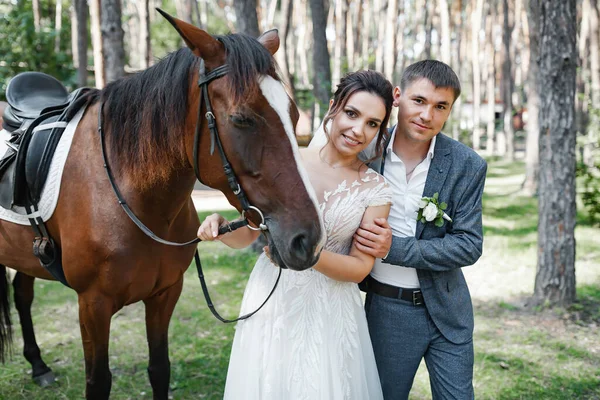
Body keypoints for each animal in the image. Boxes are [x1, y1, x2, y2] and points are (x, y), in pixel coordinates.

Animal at [0, 10, 324, 398]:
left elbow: (159, 369)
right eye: (241, 118)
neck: (137, 203)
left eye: (294, 116)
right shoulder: (92, 305)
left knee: (22, 294)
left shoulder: (165, 293)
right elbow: (99, 381)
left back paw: (38, 365)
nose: (308, 240)